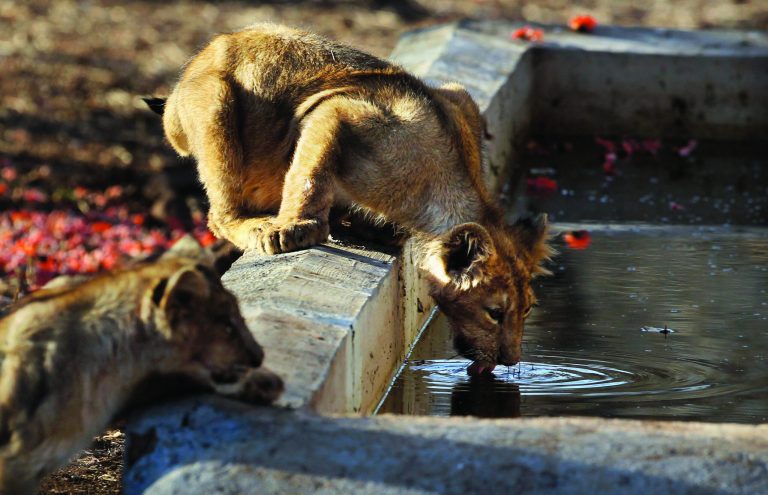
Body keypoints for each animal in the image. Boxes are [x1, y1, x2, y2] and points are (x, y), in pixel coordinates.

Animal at [147, 23, 551, 377]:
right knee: (219, 216)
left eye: (528, 308)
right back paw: (261, 226)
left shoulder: (458, 95)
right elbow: (307, 173)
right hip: (217, 105)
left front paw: (368, 226)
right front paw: (294, 229)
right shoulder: (337, 110)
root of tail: (206, 53)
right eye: (494, 312)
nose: (512, 360)